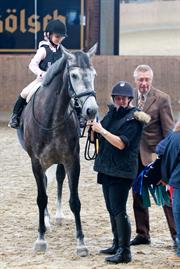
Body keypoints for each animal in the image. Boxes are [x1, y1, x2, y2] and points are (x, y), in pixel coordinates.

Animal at [17, 44, 98, 255]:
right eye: (74, 75)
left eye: (93, 74)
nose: (91, 111)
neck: (52, 117)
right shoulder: (36, 162)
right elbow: (41, 198)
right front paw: (40, 239)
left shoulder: (71, 160)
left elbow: (75, 201)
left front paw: (81, 243)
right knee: (45, 184)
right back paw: (45, 222)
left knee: (59, 179)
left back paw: (59, 216)